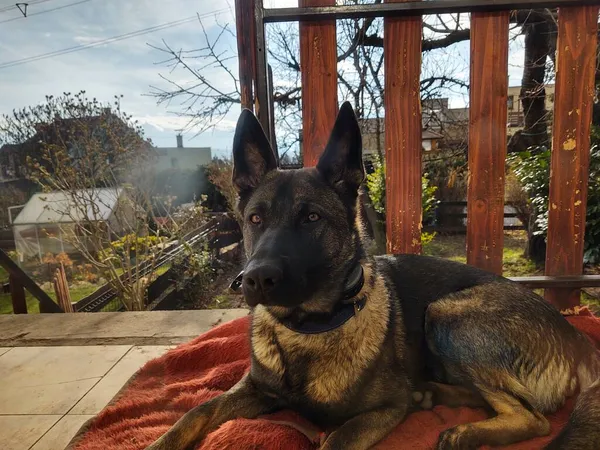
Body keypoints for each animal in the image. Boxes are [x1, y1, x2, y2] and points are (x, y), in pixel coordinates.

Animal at [146, 102, 600, 450]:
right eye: (255, 219)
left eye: (312, 218)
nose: (254, 280)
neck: (307, 331)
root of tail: (577, 338)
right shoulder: (253, 391)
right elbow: (196, 412)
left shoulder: (383, 411)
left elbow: (333, 441)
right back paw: (432, 393)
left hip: (447, 314)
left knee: (533, 418)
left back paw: (464, 432)